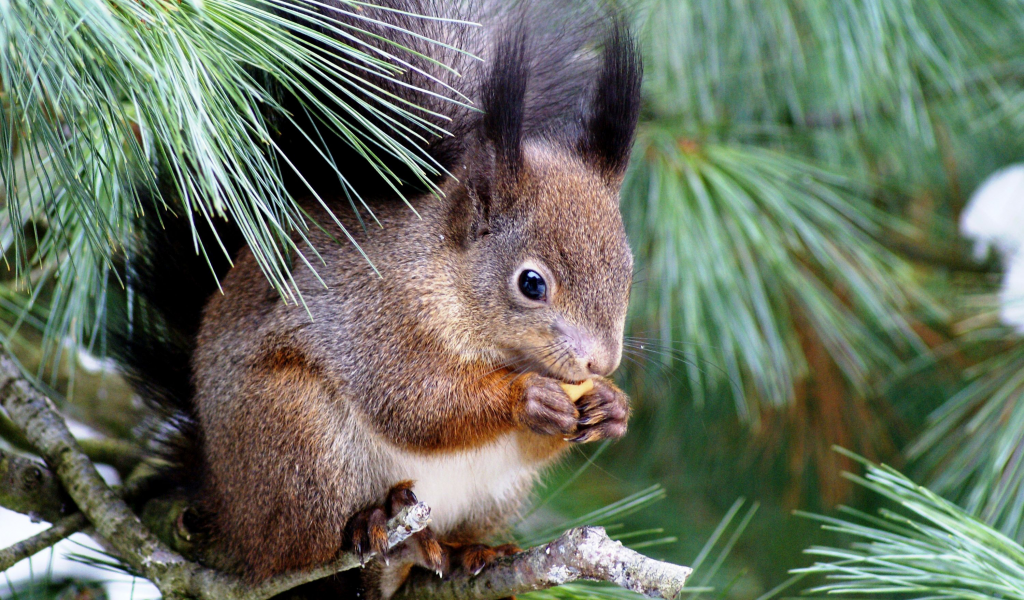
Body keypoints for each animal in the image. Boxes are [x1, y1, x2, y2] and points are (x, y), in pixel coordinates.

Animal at [110, 1, 638, 593]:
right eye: (531, 283)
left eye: (628, 272)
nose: (602, 361)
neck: (444, 277)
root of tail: (222, 502)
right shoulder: (377, 317)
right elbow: (415, 404)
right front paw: (527, 397)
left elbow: (527, 441)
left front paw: (611, 406)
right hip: (297, 438)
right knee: (300, 547)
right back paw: (375, 527)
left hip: (493, 494)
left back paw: (468, 551)